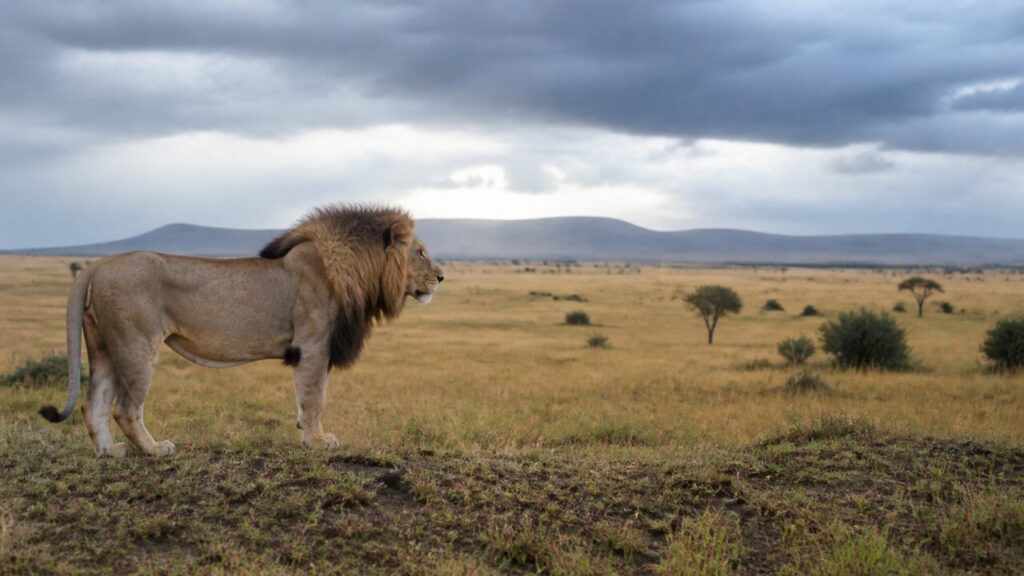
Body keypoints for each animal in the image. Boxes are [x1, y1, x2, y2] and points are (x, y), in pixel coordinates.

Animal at [39, 205, 444, 457]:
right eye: (421, 252)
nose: (442, 277)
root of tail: (98, 264)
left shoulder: (320, 349)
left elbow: (313, 397)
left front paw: (307, 432)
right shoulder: (313, 345)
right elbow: (315, 396)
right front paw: (316, 441)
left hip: (105, 347)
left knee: (93, 403)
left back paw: (110, 452)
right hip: (136, 345)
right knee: (124, 408)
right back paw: (155, 450)